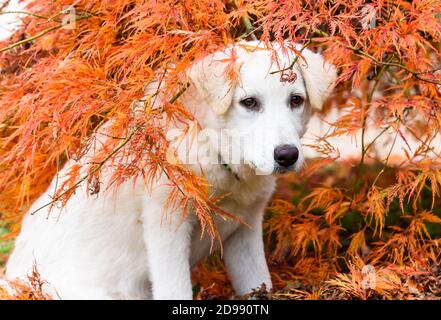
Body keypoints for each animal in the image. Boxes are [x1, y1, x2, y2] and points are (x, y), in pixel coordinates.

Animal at [3, 41, 336, 298]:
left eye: (296, 100)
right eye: (249, 102)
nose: (287, 155)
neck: (213, 149)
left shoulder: (245, 230)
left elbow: (258, 282)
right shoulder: (167, 228)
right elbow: (175, 289)